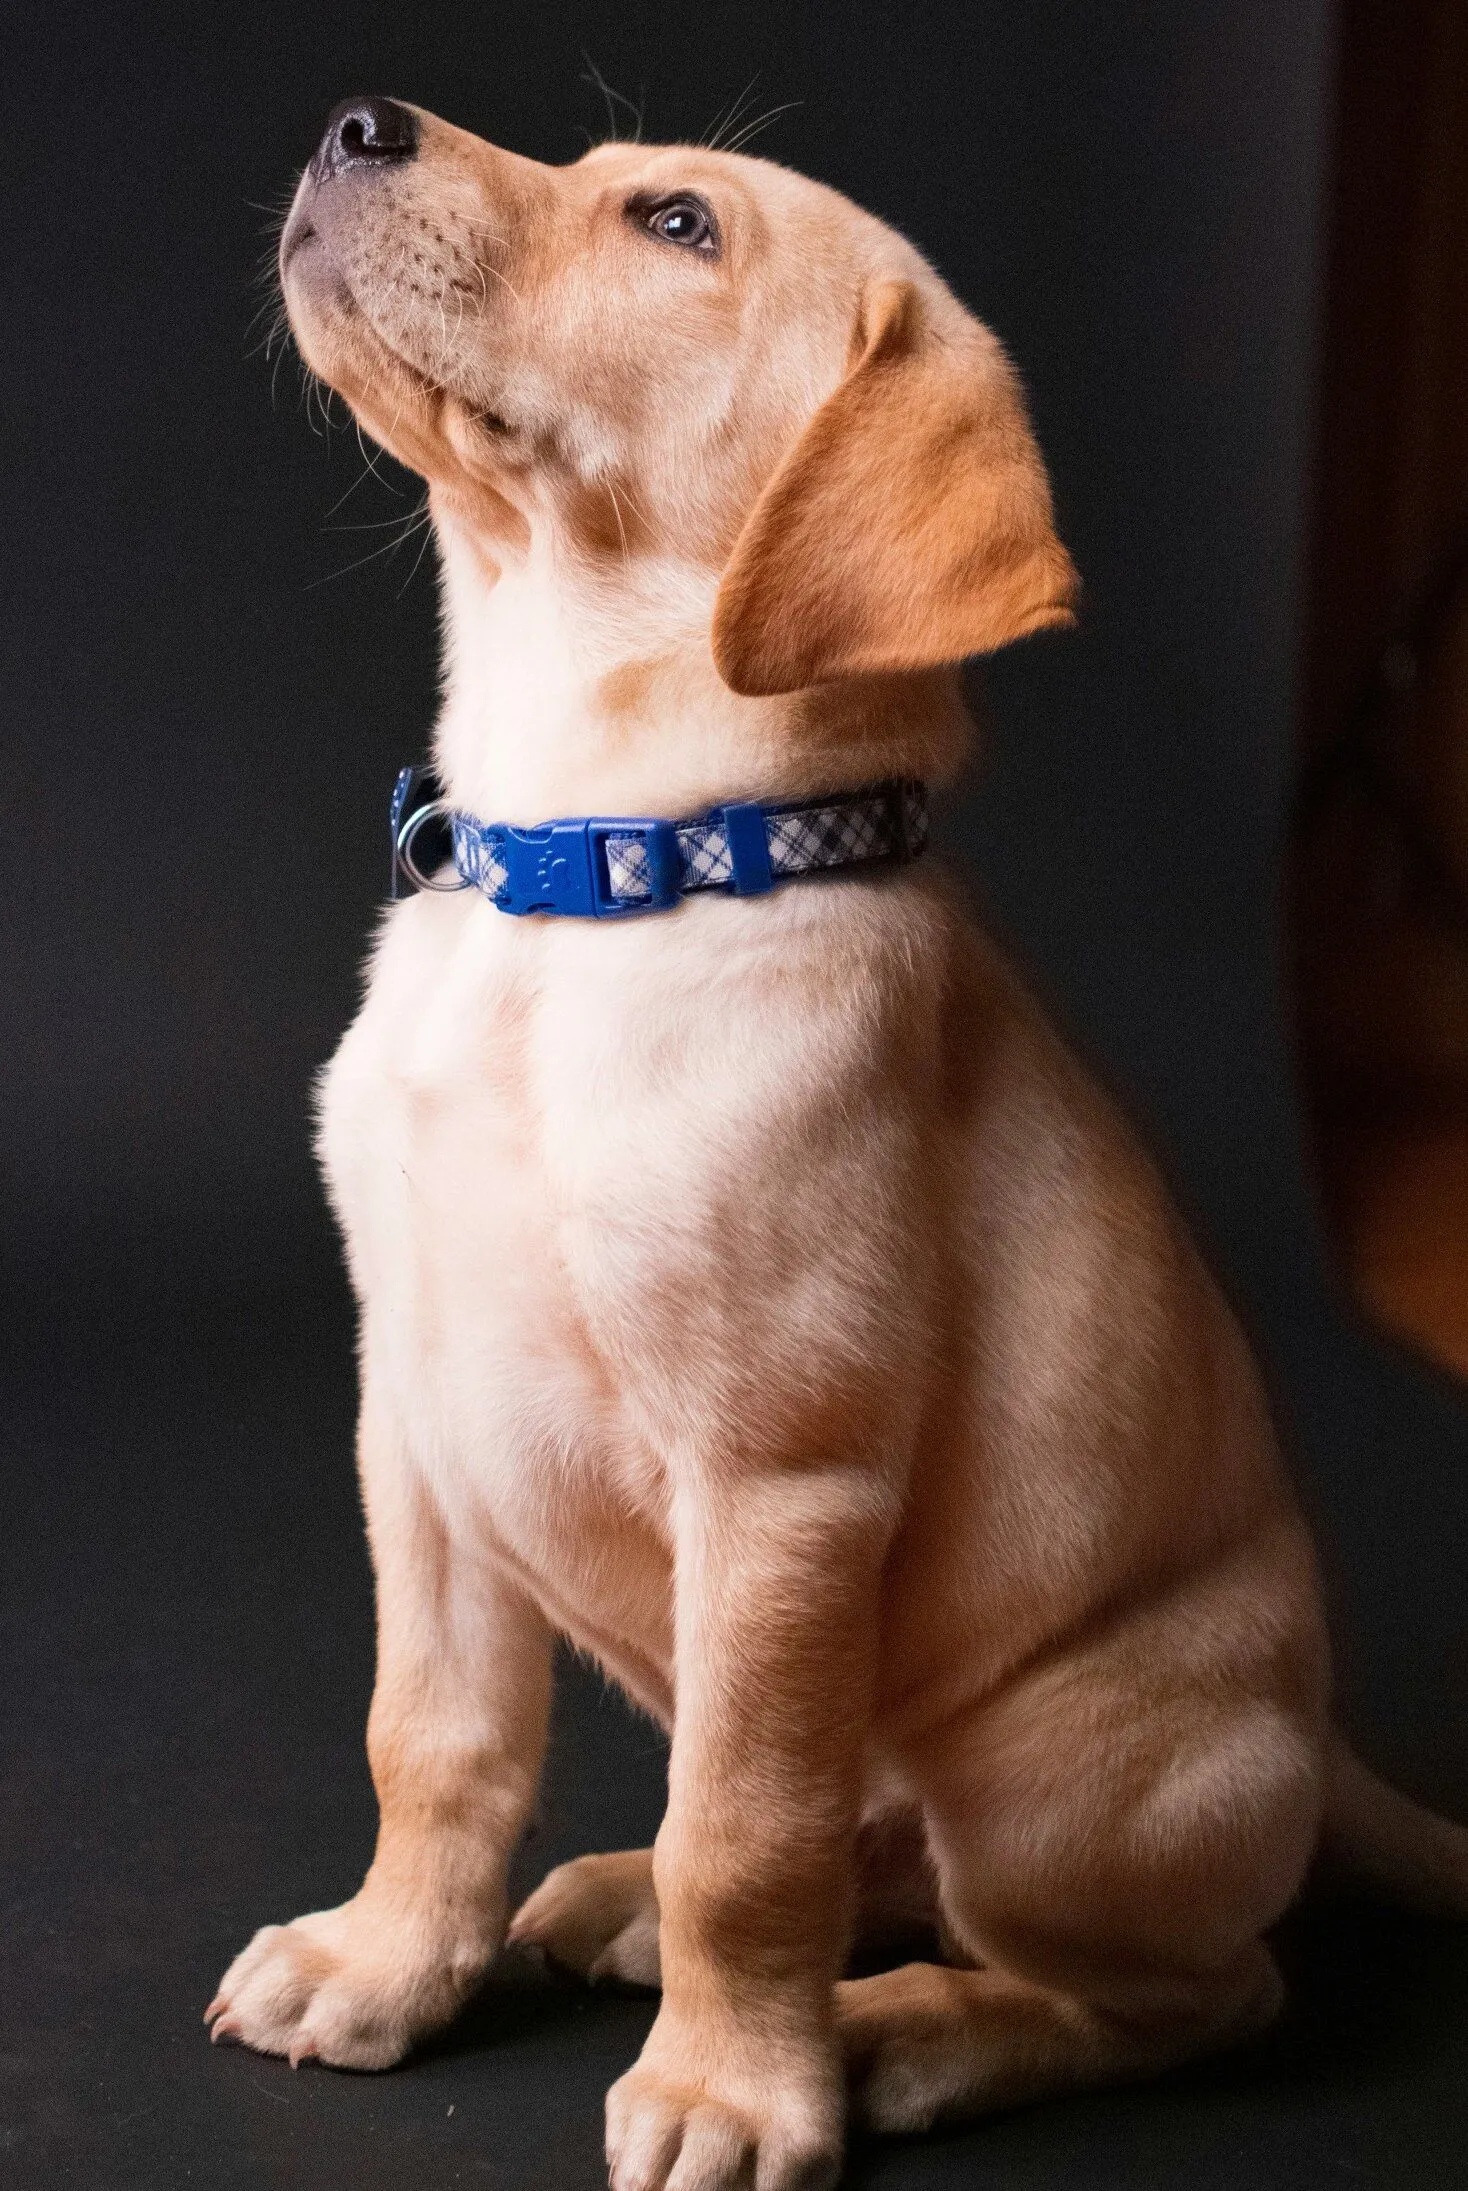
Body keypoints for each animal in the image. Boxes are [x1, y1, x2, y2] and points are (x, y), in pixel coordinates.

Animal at [210, 98, 1468, 2191]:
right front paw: (389, 1965)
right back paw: (622, 1905)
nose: (354, 120)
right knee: (863, 1864)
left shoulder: (780, 1482)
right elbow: (435, 1742)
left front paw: (738, 2090)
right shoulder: (418, 1428)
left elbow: (749, 1834)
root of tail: (1320, 1755)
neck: (592, 875)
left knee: (1181, 1991)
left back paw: (898, 2036)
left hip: (1058, 1775)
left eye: (676, 223)